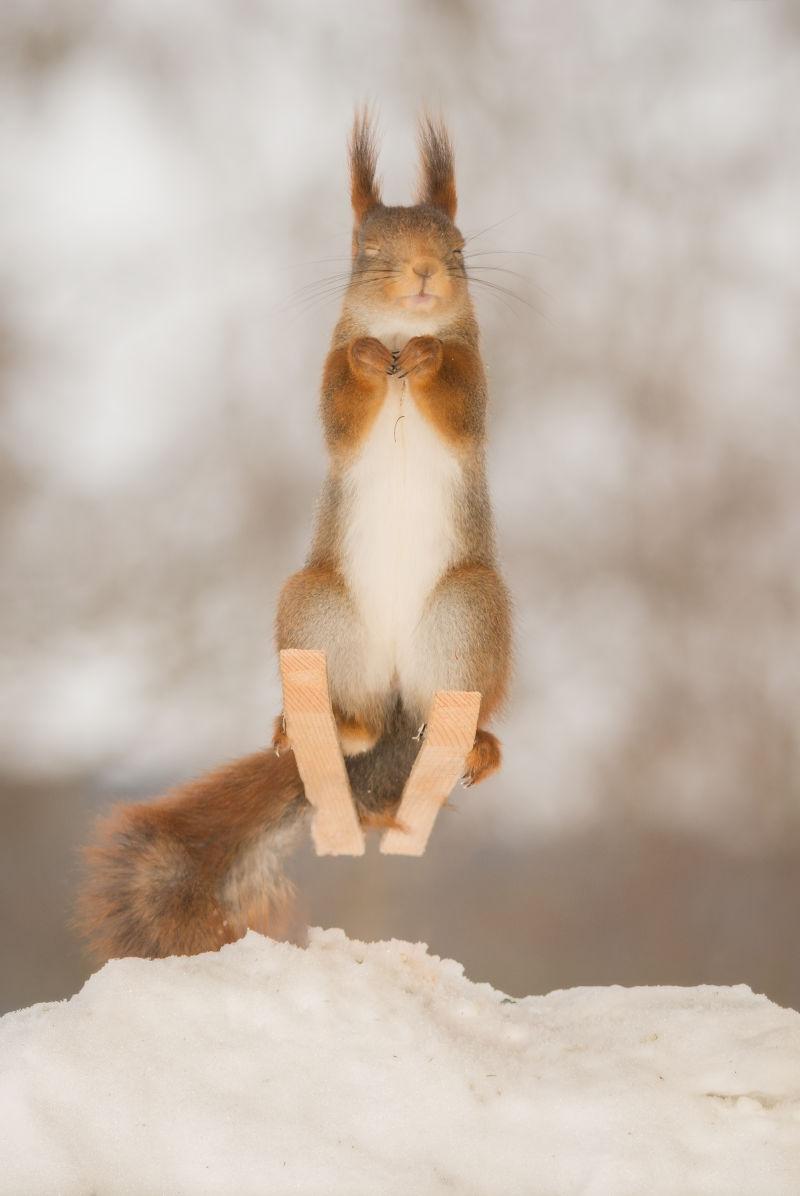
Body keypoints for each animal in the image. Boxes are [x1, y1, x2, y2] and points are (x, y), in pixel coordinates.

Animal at [76, 114, 511, 961]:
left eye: (458, 246)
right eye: (364, 251)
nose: (422, 275)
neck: (404, 335)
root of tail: (397, 715)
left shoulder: (476, 384)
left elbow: (457, 391)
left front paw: (427, 355)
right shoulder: (330, 383)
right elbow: (342, 397)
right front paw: (372, 358)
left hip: (469, 611)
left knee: (458, 708)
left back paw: (476, 743)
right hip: (315, 606)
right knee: (353, 717)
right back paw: (332, 724)